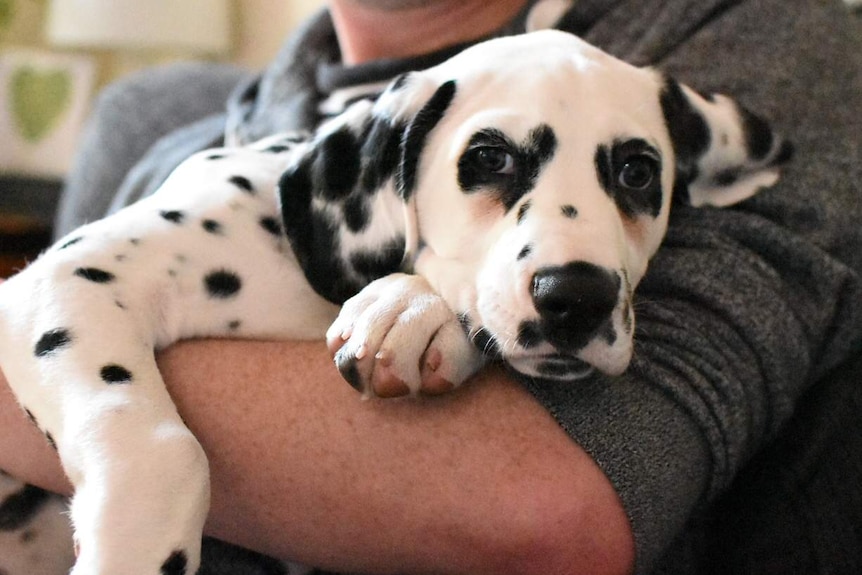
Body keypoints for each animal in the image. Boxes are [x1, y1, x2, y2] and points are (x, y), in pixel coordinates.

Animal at [0, 30, 788, 575]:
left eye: (637, 172)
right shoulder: (66, 281)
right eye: (490, 157)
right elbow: (164, 447)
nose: (578, 298)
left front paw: (415, 313)